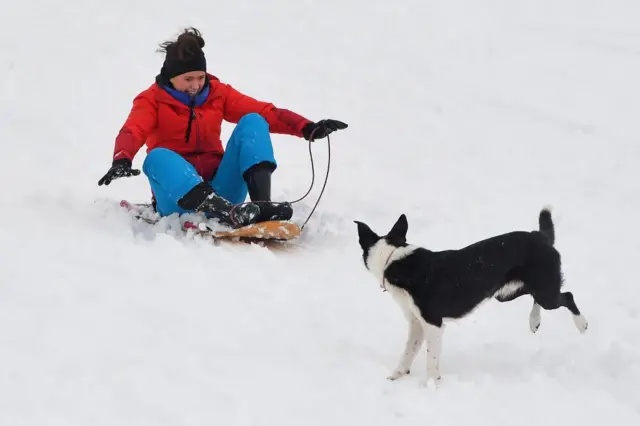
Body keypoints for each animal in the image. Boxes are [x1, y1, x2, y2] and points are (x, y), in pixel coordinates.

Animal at [356, 208, 592, 388]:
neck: (393, 260)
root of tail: (540, 236)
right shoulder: (416, 323)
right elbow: (408, 351)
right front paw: (397, 375)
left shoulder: (433, 324)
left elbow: (431, 359)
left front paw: (432, 384)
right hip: (505, 293)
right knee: (537, 296)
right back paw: (534, 321)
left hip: (544, 292)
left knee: (567, 296)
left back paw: (581, 324)